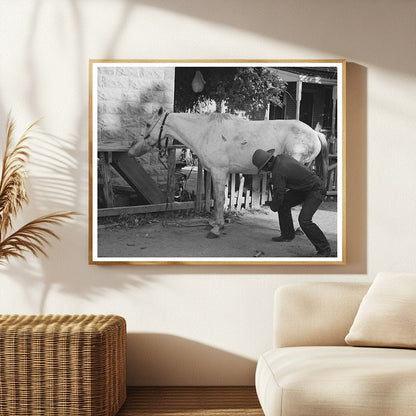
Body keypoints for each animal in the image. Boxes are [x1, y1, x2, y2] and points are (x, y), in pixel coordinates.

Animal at [128, 106, 326, 237]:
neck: (206, 133)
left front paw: (216, 228)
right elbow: (218, 198)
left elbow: (220, 199)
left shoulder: (219, 172)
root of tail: (314, 133)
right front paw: (216, 224)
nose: (131, 150)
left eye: (148, 124)